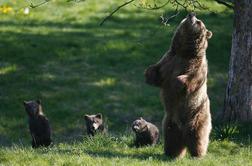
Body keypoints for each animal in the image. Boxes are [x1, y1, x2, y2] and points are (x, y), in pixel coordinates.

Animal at [145, 12, 212, 158]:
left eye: (199, 22)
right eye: (187, 17)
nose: (192, 13)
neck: (185, 52)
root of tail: (184, 135)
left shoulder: (196, 65)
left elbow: (191, 78)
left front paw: (177, 81)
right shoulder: (169, 60)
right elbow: (157, 72)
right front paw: (149, 73)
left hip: (197, 115)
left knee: (198, 136)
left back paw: (198, 154)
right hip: (170, 123)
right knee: (172, 139)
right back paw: (172, 153)